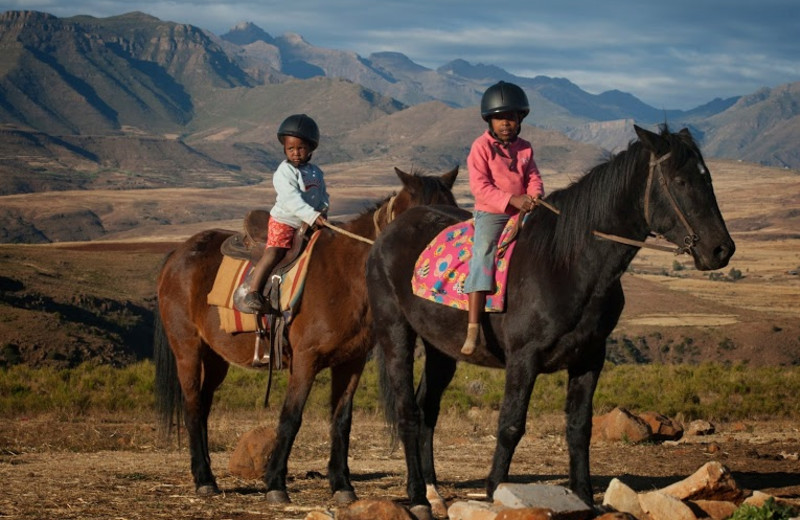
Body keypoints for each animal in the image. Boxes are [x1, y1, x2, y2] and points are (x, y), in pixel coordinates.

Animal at [154, 167, 460, 504]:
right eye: (419, 219)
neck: (345, 274)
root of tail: (177, 254)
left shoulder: (351, 362)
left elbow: (341, 420)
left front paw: (342, 485)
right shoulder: (305, 359)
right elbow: (291, 417)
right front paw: (276, 484)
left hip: (216, 357)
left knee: (204, 405)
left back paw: (208, 473)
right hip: (188, 349)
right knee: (193, 406)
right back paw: (204, 479)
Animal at [366, 125, 736, 516]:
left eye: (707, 178)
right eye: (680, 181)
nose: (721, 250)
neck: (567, 263)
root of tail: (388, 235)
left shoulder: (590, 358)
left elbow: (579, 428)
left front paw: (585, 496)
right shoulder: (523, 359)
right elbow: (510, 425)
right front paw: (496, 490)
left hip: (441, 349)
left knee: (427, 409)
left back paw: (433, 490)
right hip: (396, 333)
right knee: (408, 411)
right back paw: (418, 496)